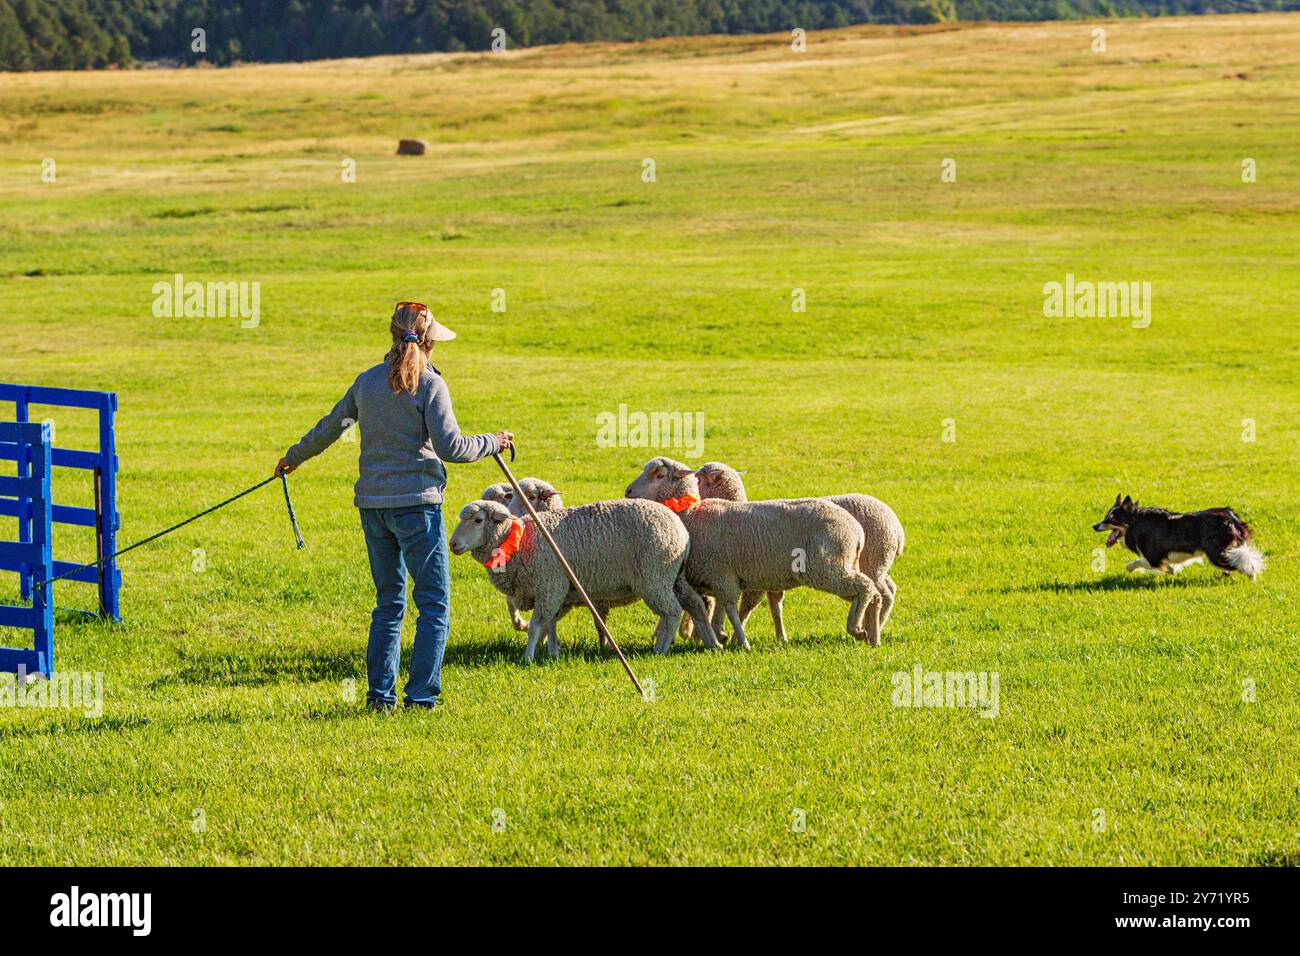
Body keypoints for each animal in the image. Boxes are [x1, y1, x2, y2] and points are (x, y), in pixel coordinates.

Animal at [449, 497, 719, 661]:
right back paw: (712, 643)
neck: (519, 541)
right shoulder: (553, 590)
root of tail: (681, 529)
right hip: (674, 577)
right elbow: (549, 623)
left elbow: (537, 625)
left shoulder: (550, 585)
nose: (453, 544)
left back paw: (660, 650)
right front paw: (553, 653)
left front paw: (528, 657)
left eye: (478, 520)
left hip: (655, 577)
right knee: (695, 604)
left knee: (672, 611)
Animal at [624, 457, 883, 649]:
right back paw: (873, 635)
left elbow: (728, 607)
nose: (628, 491)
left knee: (865, 587)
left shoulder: (722, 574)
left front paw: (735, 641)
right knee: (873, 593)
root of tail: (856, 529)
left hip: (828, 568)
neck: (690, 512)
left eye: (658, 475)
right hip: (844, 565)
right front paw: (718, 637)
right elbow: (712, 608)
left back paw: (856, 630)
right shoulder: (711, 579)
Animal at [695, 462, 905, 640]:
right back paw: (873, 628)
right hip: (875, 563)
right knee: (888, 588)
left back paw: (872, 628)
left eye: (698, 479)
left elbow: (746, 606)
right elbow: (775, 605)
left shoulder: (754, 577)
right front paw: (781, 637)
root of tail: (897, 528)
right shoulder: (771, 577)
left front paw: (731, 638)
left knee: (882, 592)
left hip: (869, 560)